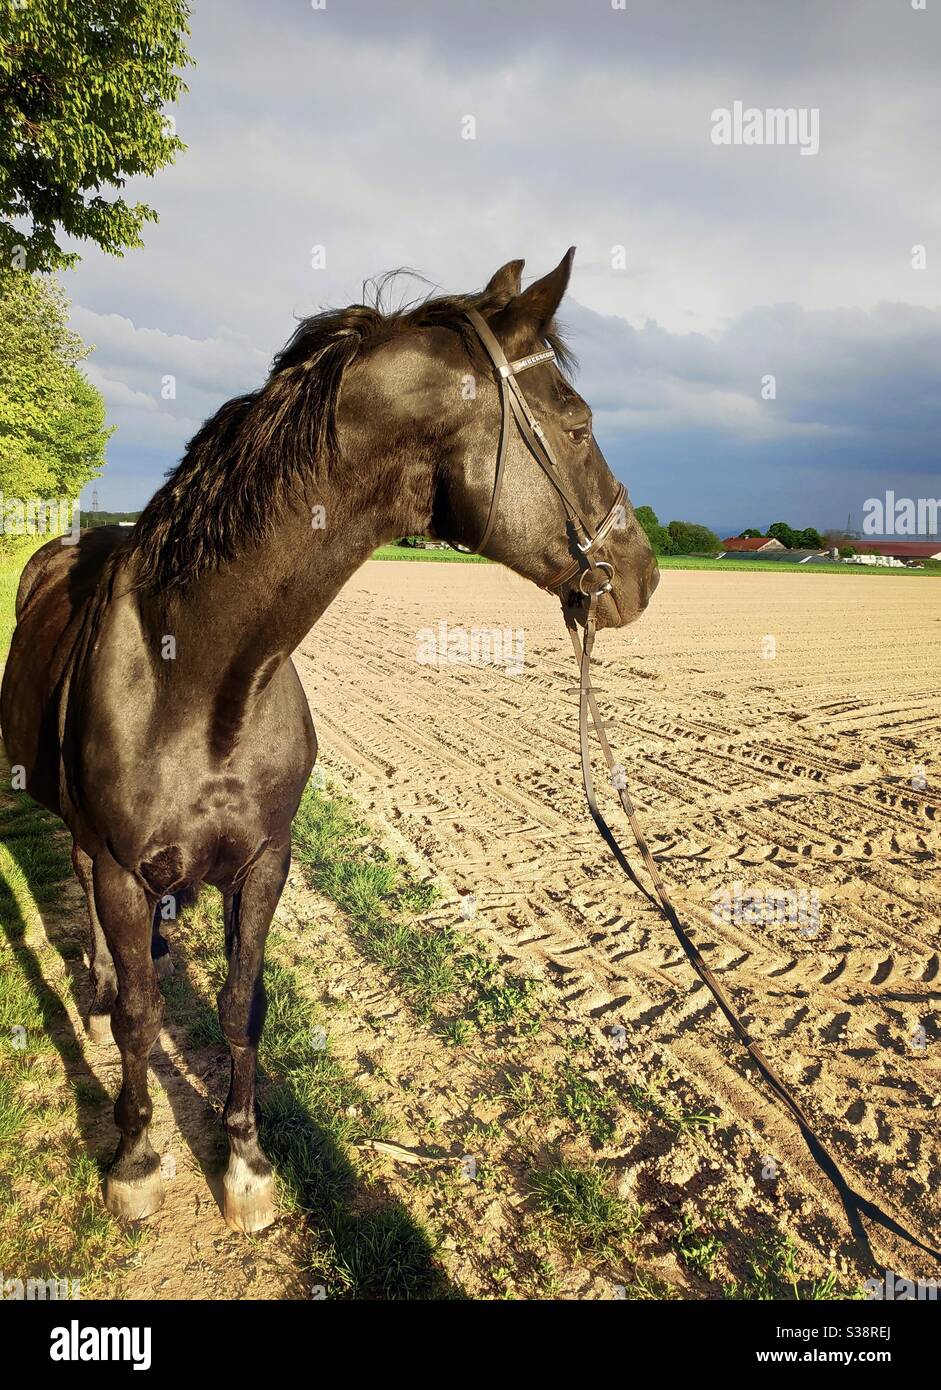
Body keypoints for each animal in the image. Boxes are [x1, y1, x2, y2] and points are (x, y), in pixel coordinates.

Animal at [0, 255, 656, 1234]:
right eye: (576, 425)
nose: (644, 576)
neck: (202, 676)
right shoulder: (123, 865)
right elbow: (144, 1023)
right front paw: (137, 1157)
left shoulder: (265, 860)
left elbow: (241, 1007)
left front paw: (243, 1164)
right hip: (88, 844)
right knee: (90, 905)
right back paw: (103, 987)